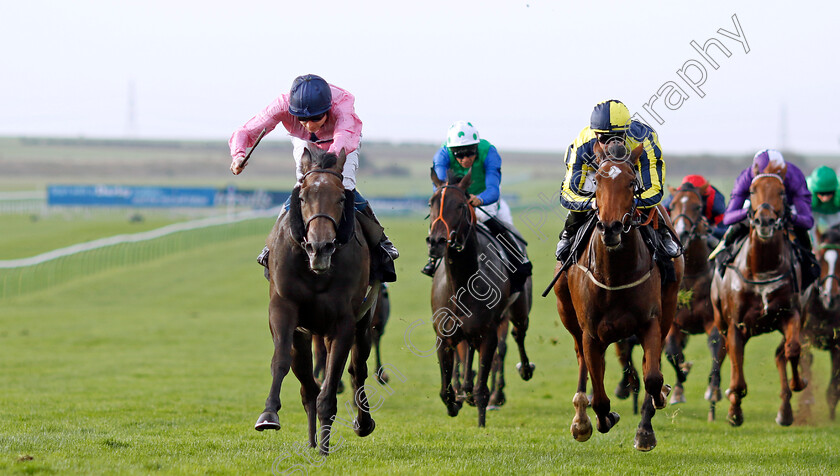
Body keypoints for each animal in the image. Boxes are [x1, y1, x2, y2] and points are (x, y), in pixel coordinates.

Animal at [254, 144, 382, 454]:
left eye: (341, 198)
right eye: (302, 197)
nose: (319, 247)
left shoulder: (344, 322)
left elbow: (334, 378)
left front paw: (325, 447)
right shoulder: (283, 310)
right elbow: (280, 361)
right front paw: (269, 414)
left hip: (363, 323)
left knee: (357, 370)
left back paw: (359, 425)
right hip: (305, 334)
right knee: (307, 385)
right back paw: (313, 439)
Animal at [430, 169, 536, 426]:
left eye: (460, 205)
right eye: (431, 202)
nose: (436, 241)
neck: (461, 284)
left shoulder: (488, 333)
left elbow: (482, 387)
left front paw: (481, 422)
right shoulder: (444, 336)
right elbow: (445, 390)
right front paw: (455, 401)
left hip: (518, 311)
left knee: (517, 335)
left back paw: (524, 369)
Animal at [552, 143, 684, 452]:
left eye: (632, 182)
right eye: (598, 182)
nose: (610, 228)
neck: (614, 275)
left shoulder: (650, 322)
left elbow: (652, 377)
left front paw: (650, 418)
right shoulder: (590, 332)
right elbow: (600, 397)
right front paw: (602, 418)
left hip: (668, 306)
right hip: (567, 313)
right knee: (581, 359)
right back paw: (581, 419)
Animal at [708, 160, 808, 428]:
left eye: (782, 192)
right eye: (752, 191)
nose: (764, 221)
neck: (763, 269)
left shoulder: (791, 314)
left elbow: (793, 349)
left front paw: (798, 382)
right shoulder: (735, 324)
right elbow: (738, 375)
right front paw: (734, 412)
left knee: (780, 354)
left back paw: (785, 411)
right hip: (721, 320)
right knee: (728, 352)